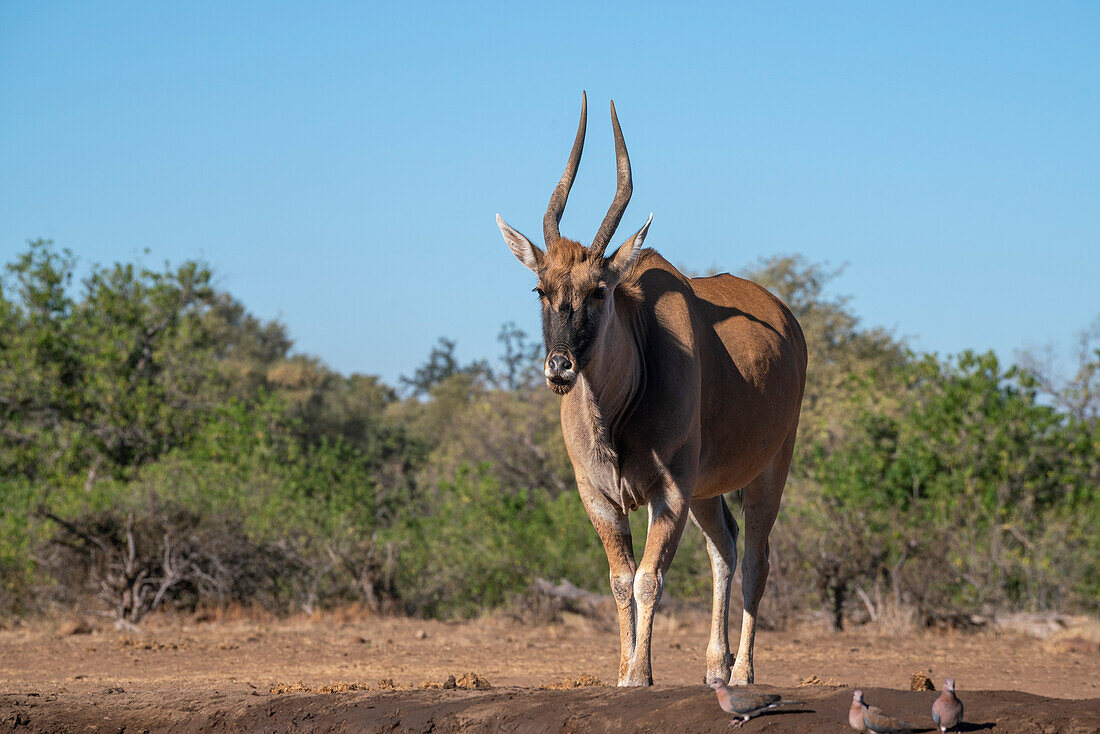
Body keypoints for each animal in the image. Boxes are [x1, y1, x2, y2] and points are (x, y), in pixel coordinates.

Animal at [499, 93, 809, 691]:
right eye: (541, 289)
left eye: (599, 290)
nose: (559, 368)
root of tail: (787, 319)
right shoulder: (601, 497)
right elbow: (621, 579)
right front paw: (624, 671)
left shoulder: (669, 493)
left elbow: (648, 577)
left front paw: (640, 673)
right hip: (708, 491)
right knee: (724, 547)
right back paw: (715, 666)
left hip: (768, 471)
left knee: (755, 558)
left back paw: (742, 672)